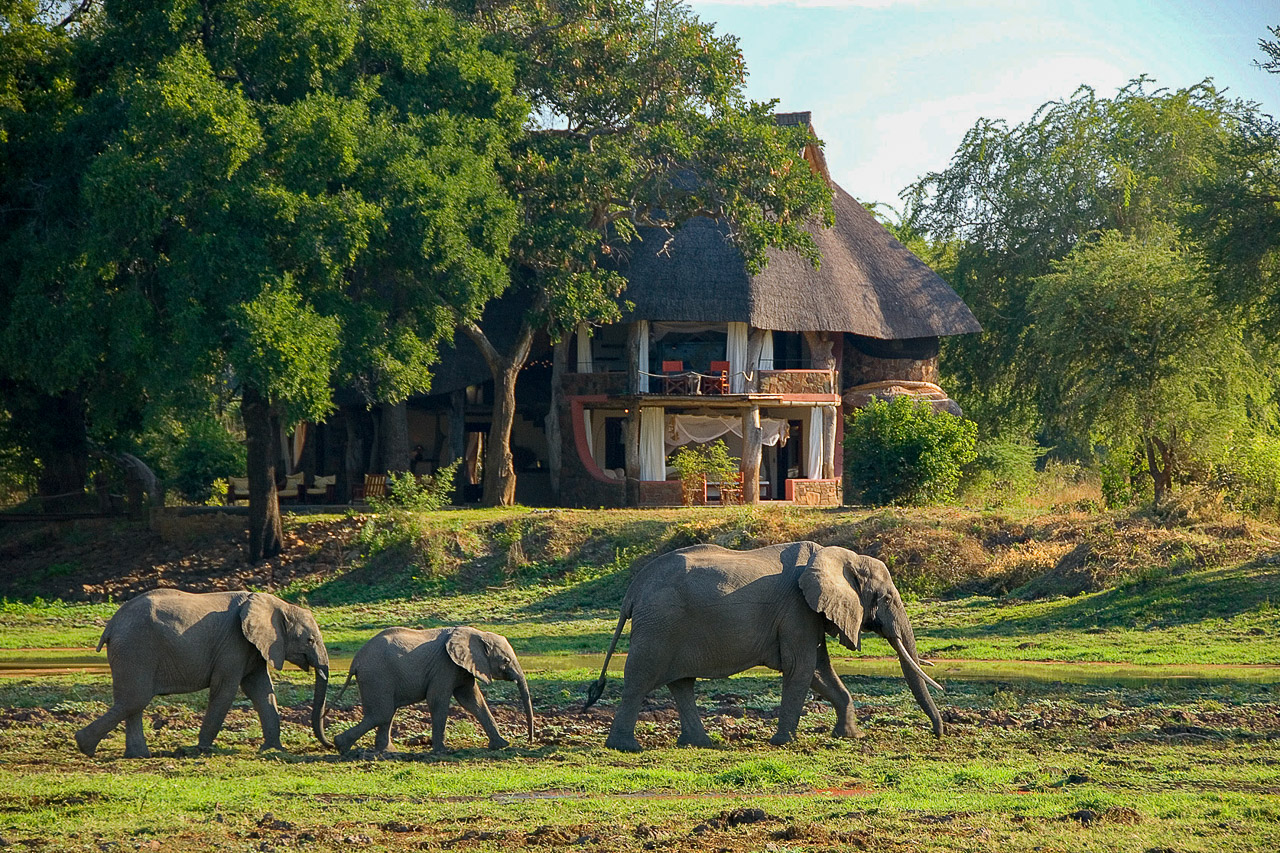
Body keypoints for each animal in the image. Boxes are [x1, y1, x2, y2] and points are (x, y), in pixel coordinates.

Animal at [75, 584, 332, 758]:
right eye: (309, 640)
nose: (329, 744)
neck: (277, 604)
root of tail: (111, 626)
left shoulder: (253, 647)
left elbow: (261, 691)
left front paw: (272, 749)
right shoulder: (233, 643)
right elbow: (225, 690)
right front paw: (202, 748)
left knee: (133, 702)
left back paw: (137, 755)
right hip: (135, 648)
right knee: (135, 699)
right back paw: (85, 746)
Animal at [332, 625, 532, 753]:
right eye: (506, 661)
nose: (530, 741)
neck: (478, 634)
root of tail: (355, 661)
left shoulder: (461, 668)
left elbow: (472, 700)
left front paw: (502, 745)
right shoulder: (444, 665)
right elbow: (438, 699)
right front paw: (442, 751)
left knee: (386, 713)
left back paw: (386, 751)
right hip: (377, 677)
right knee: (382, 713)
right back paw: (341, 746)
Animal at [586, 540, 947, 747]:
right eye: (886, 598)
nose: (938, 733)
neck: (838, 557)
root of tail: (633, 591)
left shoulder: (808, 612)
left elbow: (819, 669)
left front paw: (849, 737)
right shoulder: (797, 608)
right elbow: (801, 668)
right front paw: (783, 742)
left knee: (681, 683)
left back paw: (701, 745)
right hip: (658, 626)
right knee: (640, 680)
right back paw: (625, 747)